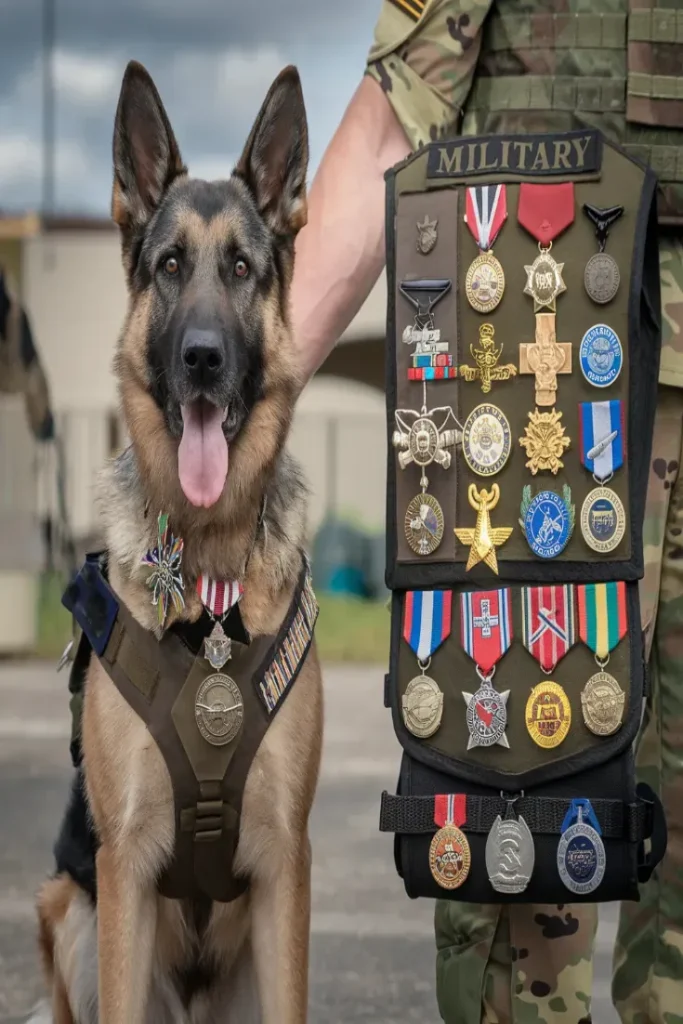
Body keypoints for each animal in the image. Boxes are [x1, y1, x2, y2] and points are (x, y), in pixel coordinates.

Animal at [31, 59, 321, 1019]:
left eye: (239, 268)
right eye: (168, 266)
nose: (200, 358)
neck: (207, 568)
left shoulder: (285, 868)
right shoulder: (123, 870)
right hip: (70, 913)